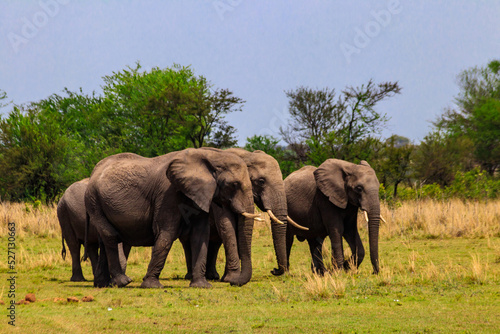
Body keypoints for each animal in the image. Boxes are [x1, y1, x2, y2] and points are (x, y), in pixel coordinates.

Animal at [85, 147, 258, 288]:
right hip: (94, 201)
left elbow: (200, 235)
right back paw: (123, 282)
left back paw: (102, 285)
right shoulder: (168, 194)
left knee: (104, 239)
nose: (232, 282)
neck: (210, 156)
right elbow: (167, 233)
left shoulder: (199, 195)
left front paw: (201, 286)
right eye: (234, 184)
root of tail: (93, 171)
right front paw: (152, 286)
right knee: (111, 236)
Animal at [184, 147, 308, 280]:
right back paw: (192, 276)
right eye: (261, 181)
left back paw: (213, 276)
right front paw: (231, 278)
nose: (274, 270)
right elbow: (226, 225)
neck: (247, 155)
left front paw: (231, 278)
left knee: (215, 241)